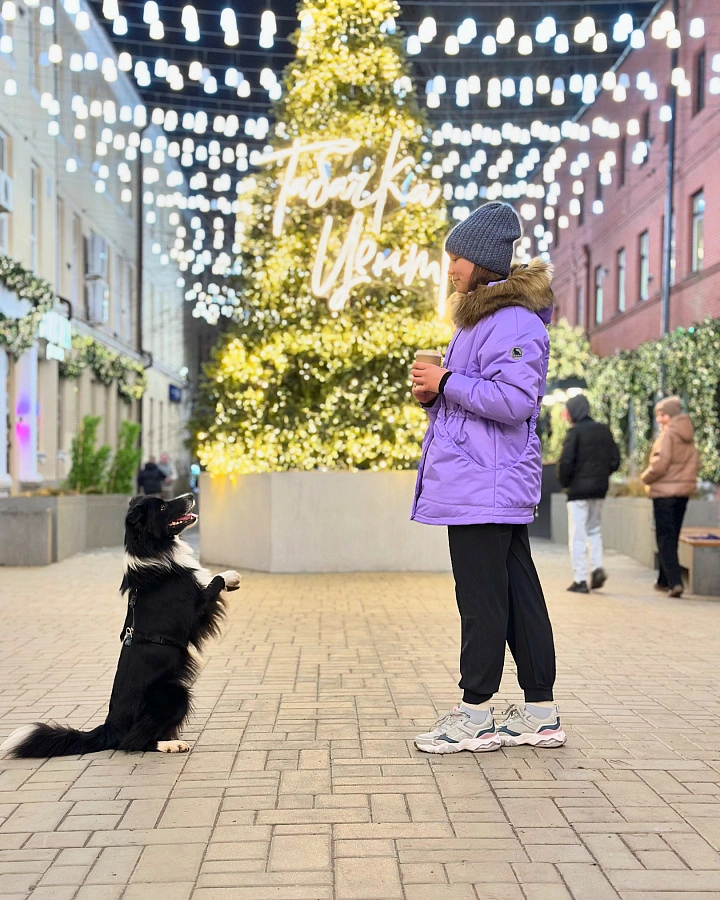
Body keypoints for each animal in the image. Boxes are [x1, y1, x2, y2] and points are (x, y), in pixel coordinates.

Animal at [1, 496, 240, 756]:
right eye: (163, 506)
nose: (189, 496)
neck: (153, 550)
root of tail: (110, 726)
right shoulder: (195, 612)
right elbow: (214, 581)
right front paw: (231, 576)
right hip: (174, 693)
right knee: (133, 741)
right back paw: (171, 744)